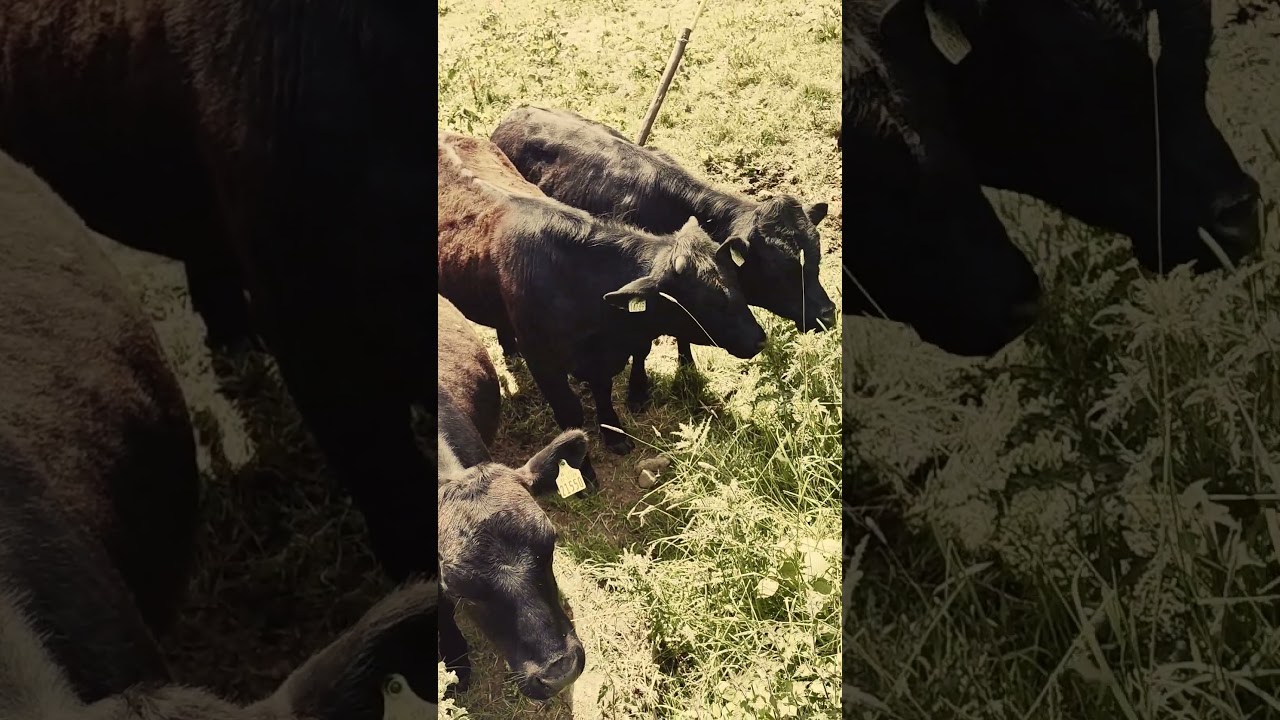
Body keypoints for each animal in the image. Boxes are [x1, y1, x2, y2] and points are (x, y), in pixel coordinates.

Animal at [438, 131, 767, 457]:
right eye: (707, 302)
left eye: (737, 283)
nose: (759, 339)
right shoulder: (543, 362)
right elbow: (571, 416)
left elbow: (603, 391)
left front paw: (614, 433)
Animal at [490, 106, 836, 411]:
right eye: (779, 269)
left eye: (816, 259)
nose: (828, 313)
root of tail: (515, 115)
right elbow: (642, 347)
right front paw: (638, 391)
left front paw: (686, 365)